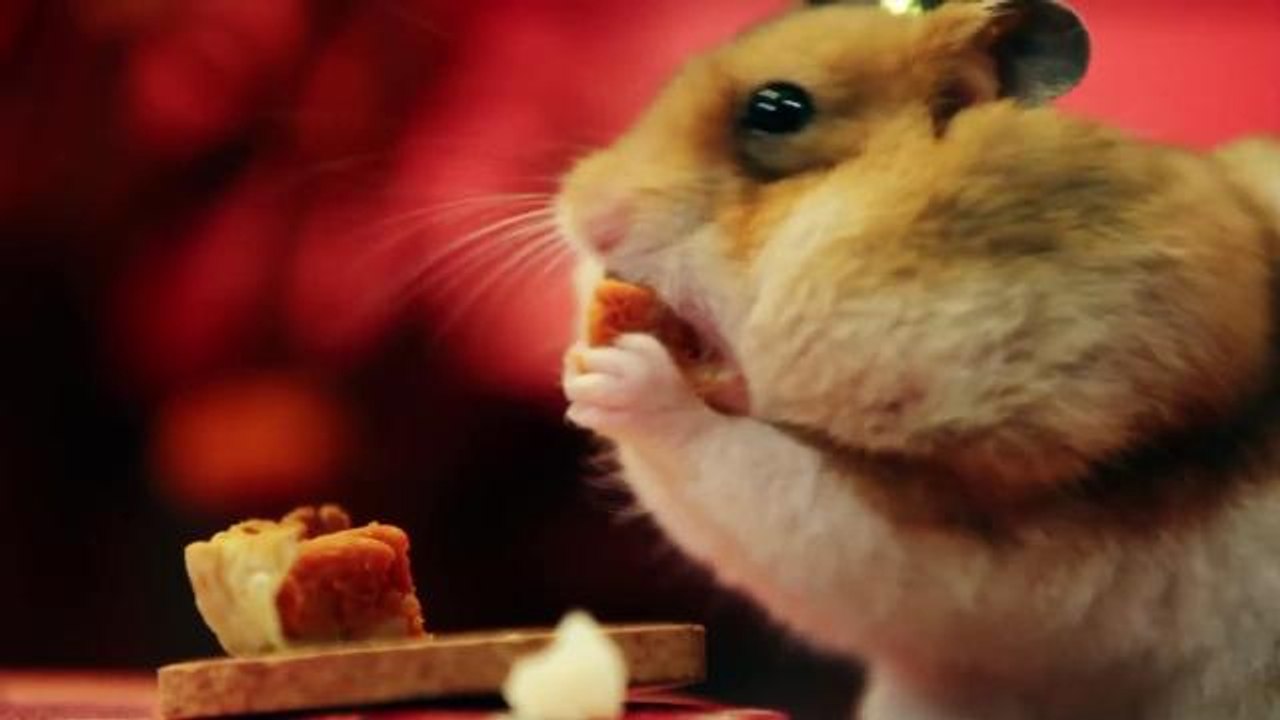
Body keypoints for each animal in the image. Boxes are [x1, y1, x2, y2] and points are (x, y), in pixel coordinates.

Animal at [557, 1, 1280, 718]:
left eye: (779, 109)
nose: (579, 214)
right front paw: (575, 369)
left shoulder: (964, 541)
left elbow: (754, 469)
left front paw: (625, 375)